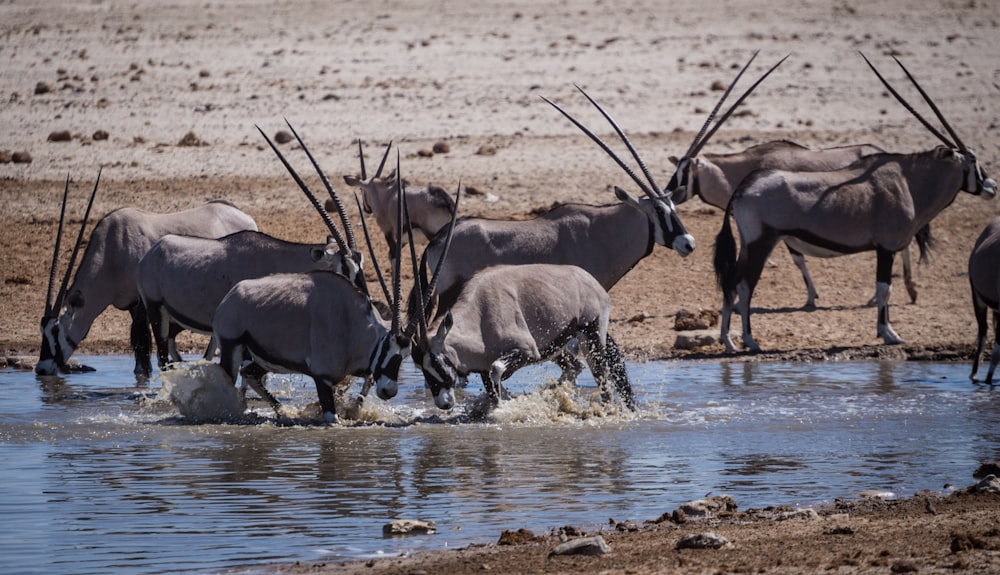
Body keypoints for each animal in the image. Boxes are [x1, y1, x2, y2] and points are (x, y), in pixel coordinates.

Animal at [37, 171, 258, 378]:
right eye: (42, 331)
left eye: (56, 330)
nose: (41, 369)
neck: (112, 248)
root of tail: (245, 216)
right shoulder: (130, 303)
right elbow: (137, 338)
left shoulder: (143, 298)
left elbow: (141, 335)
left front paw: (144, 373)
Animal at [135, 124, 366, 372]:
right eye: (344, 268)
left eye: (361, 264)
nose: (364, 296)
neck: (278, 257)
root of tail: (150, 255)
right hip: (156, 310)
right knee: (162, 358)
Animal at [716, 55, 996, 352]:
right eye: (973, 160)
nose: (992, 186)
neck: (909, 180)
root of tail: (744, 187)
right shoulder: (886, 248)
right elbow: (884, 289)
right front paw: (889, 334)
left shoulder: (887, 248)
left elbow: (885, 289)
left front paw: (887, 331)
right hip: (762, 243)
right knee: (745, 286)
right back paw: (749, 340)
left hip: (748, 246)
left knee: (731, 284)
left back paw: (729, 341)